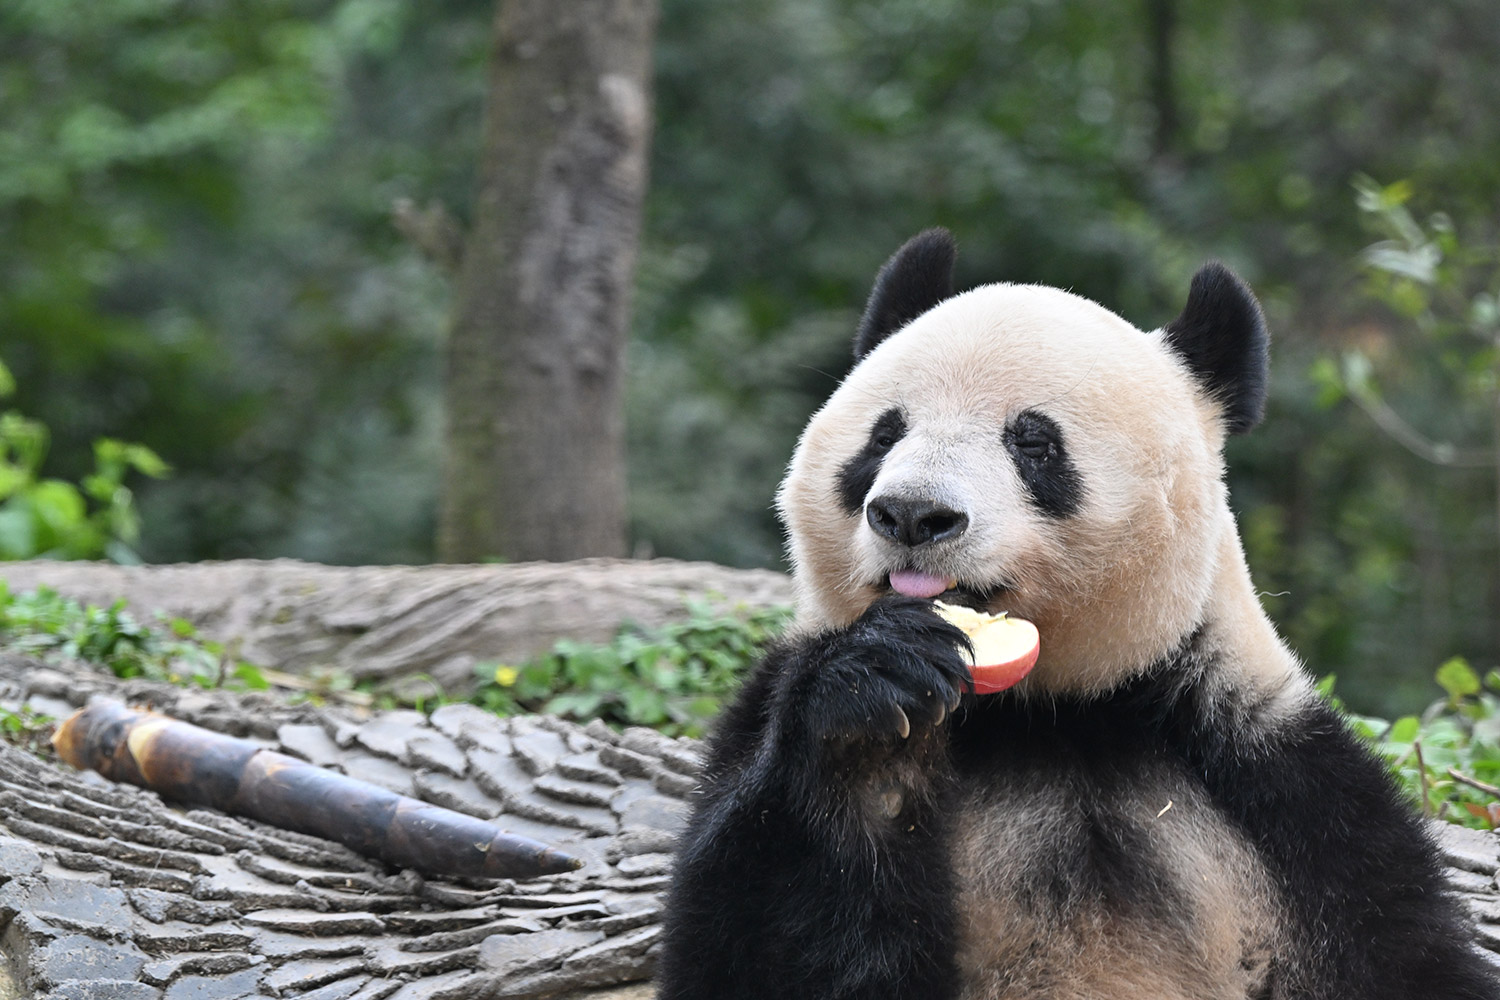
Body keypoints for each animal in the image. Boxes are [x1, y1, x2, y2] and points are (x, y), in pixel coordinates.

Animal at [657, 229, 1500, 1000]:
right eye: (884, 433)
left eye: (1033, 441)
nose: (911, 514)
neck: (1051, 711)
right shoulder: (764, 714)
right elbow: (754, 945)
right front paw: (871, 714)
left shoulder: (1278, 785)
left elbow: (1399, 949)